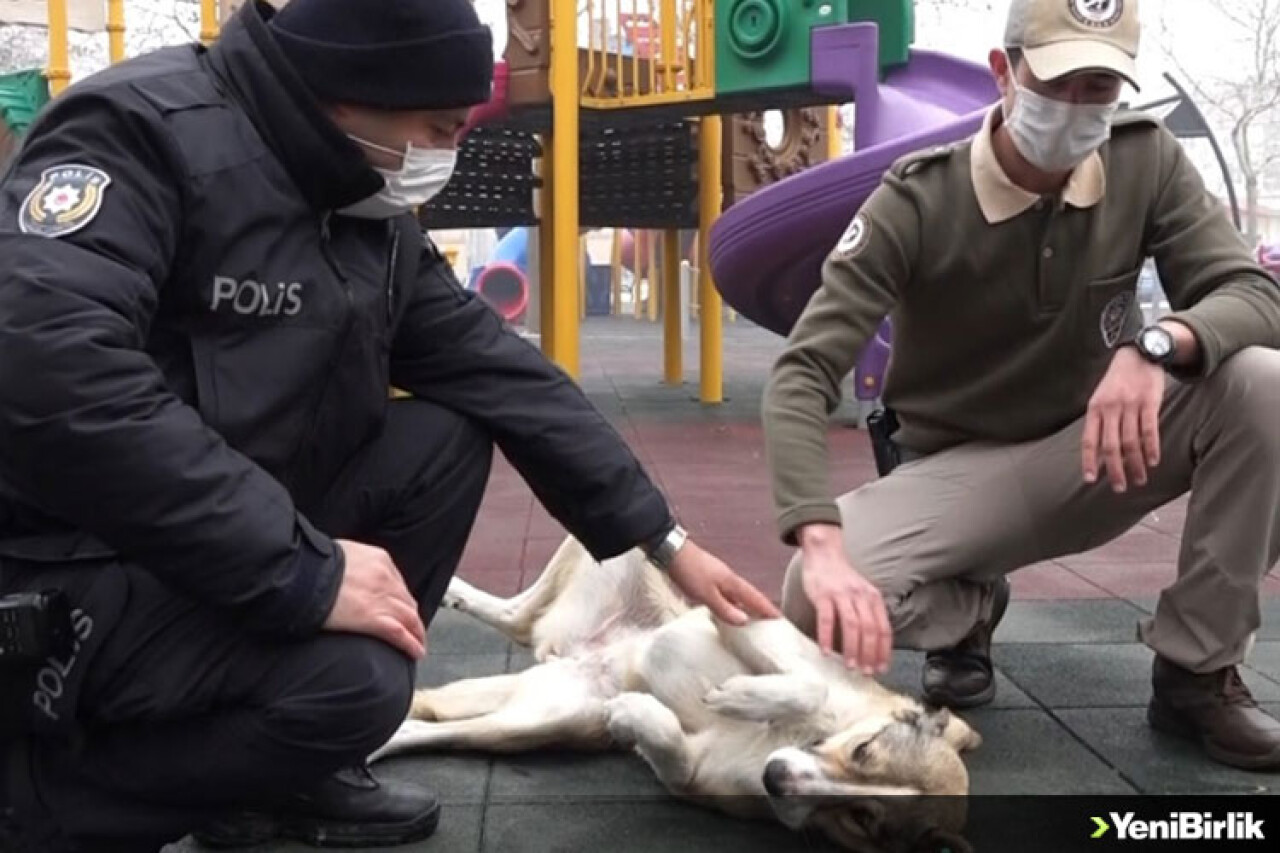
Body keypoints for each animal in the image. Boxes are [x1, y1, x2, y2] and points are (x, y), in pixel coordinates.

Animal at [371, 535, 977, 845]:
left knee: (430, 720)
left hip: (534, 722)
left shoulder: (692, 778)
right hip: (622, 552)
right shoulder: (748, 621)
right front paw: (740, 696)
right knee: (521, 610)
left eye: (864, 818)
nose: (775, 778)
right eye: (864, 750)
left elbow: (673, 753)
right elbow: (808, 685)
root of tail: (577, 651)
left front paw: (640, 714)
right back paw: (452, 591)